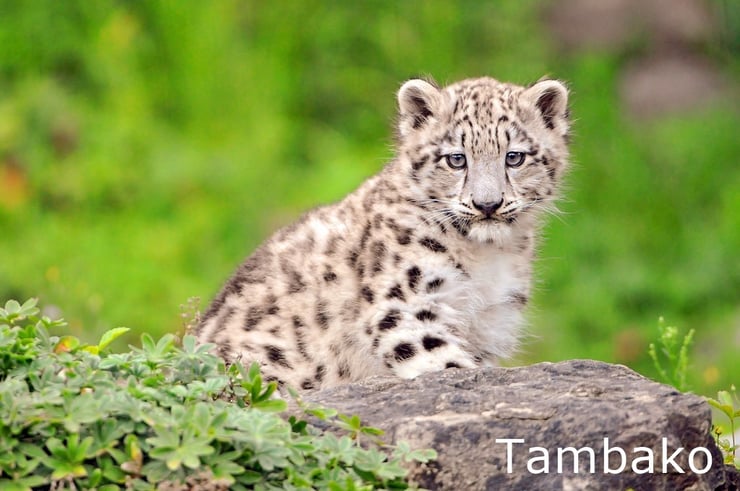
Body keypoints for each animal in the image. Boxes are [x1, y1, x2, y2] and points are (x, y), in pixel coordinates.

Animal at [195, 75, 570, 390]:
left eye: (514, 157)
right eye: (456, 159)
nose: (487, 204)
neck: (487, 257)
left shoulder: (491, 321)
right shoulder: (405, 305)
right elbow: (442, 361)